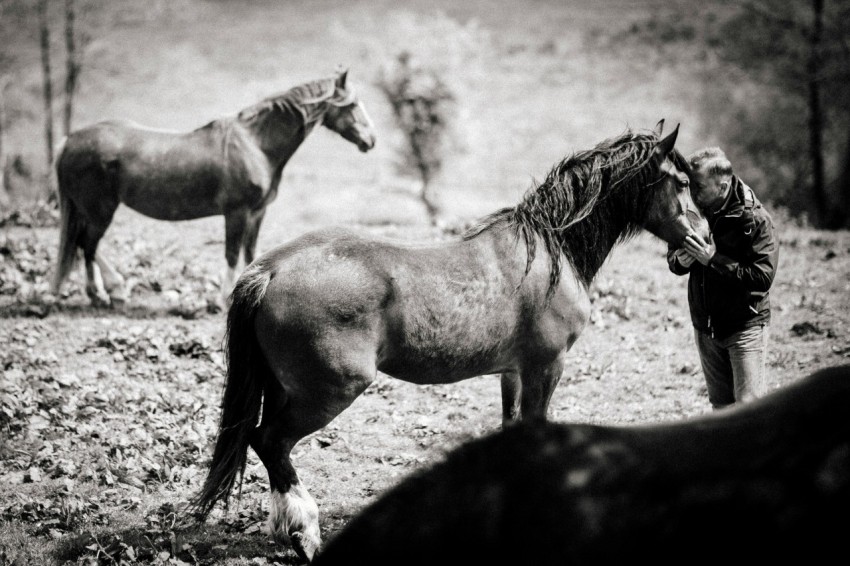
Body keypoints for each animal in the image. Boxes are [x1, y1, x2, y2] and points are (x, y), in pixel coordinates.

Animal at [50, 69, 376, 308]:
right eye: (353, 105)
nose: (371, 140)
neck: (255, 145)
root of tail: (69, 140)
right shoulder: (237, 213)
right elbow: (231, 255)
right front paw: (222, 299)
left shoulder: (257, 214)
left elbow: (251, 253)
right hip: (100, 210)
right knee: (87, 246)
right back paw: (104, 292)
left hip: (92, 210)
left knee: (85, 246)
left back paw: (109, 290)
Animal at [191, 121, 706, 561]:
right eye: (682, 182)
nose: (704, 241)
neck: (551, 251)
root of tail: (270, 270)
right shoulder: (546, 367)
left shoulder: (513, 373)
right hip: (328, 392)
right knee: (270, 441)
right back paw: (304, 534)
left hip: (283, 387)